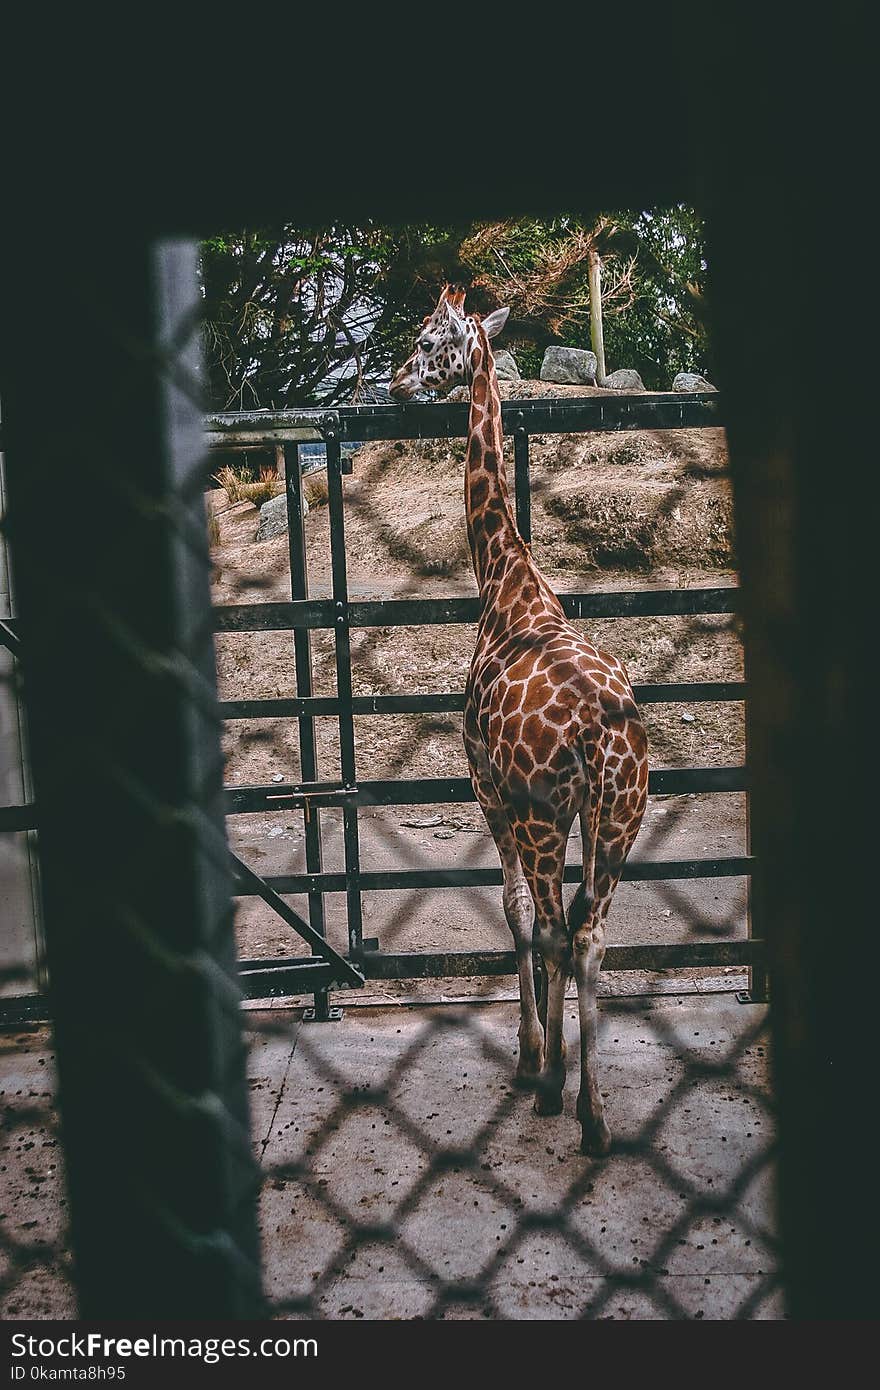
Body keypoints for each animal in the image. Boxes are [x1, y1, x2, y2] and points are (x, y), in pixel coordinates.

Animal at [386, 282, 647, 1150]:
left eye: (427, 339)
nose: (395, 382)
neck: (505, 587)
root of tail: (603, 737)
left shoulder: (488, 787)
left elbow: (514, 912)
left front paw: (533, 1059)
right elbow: (551, 923)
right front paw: (551, 1061)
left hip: (540, 814)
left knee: (560, 927)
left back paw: (567, 1098)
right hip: (619, 816)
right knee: (593, 934)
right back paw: (594, 1116)